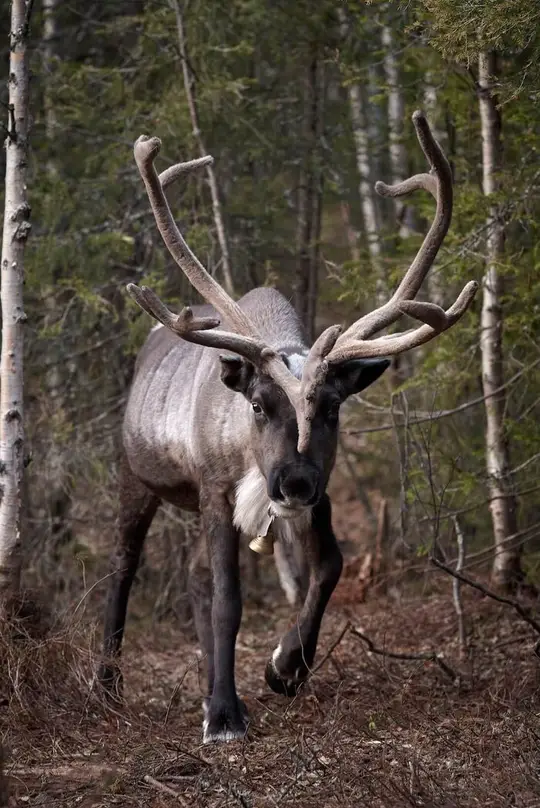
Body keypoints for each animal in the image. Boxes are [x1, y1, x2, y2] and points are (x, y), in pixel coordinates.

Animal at [97, 111, 477, 743]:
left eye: (333, 408)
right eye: (257, 405)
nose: (293, 481)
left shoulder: (315, 496)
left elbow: (328, 566)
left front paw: (284, 667)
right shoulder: (216, 489)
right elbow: (229, 598)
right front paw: (225, 717)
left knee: (195, 576)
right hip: (137, 476)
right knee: (123, 567)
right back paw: (107, 686)